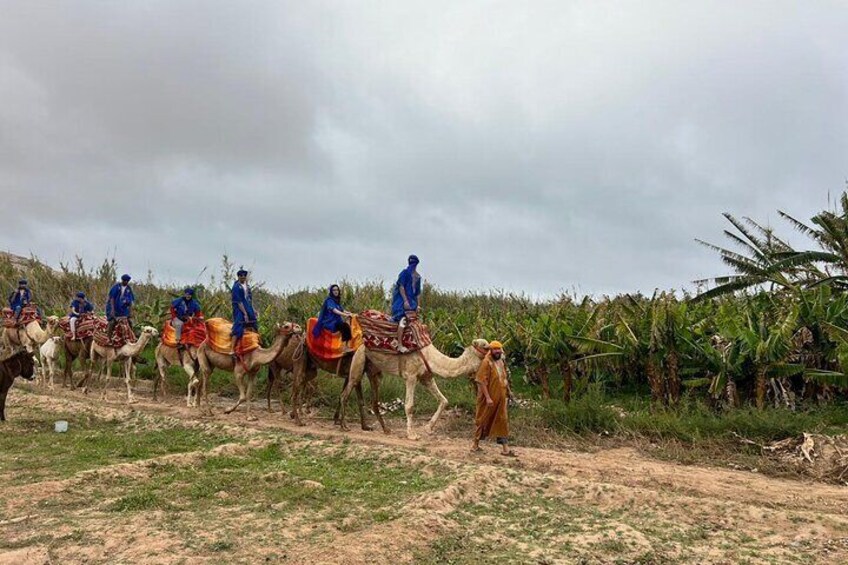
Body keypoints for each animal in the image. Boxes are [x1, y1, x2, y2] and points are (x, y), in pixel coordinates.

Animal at [340, 338, 490, 438]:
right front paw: (412, 434)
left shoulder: (426, 377)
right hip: (358, 361)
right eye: (485, 346)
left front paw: (428, 428)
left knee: (373, 400)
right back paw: (344, 426)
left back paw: (385, 429)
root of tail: (360, 345)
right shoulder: (411, 376)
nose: (496, 354)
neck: (431, 357)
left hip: (373, 371)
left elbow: (444, 400)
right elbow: (409, 405)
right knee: (346, 391)